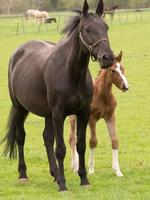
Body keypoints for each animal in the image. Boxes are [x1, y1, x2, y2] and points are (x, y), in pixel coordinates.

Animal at [0, 0, 113, 191]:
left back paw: (54, 174)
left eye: (106, 27)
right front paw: (63, 185)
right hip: (20, 108)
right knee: (20, 137)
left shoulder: (83, 113)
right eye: (87, 29)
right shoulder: (59, 113)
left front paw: (83, 179)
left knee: (47, 138)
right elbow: (60, 148)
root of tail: (19, 51)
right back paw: (23, 175)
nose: (108, 58)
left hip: (47, 114)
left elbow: (80, 145)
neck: (71, 73)